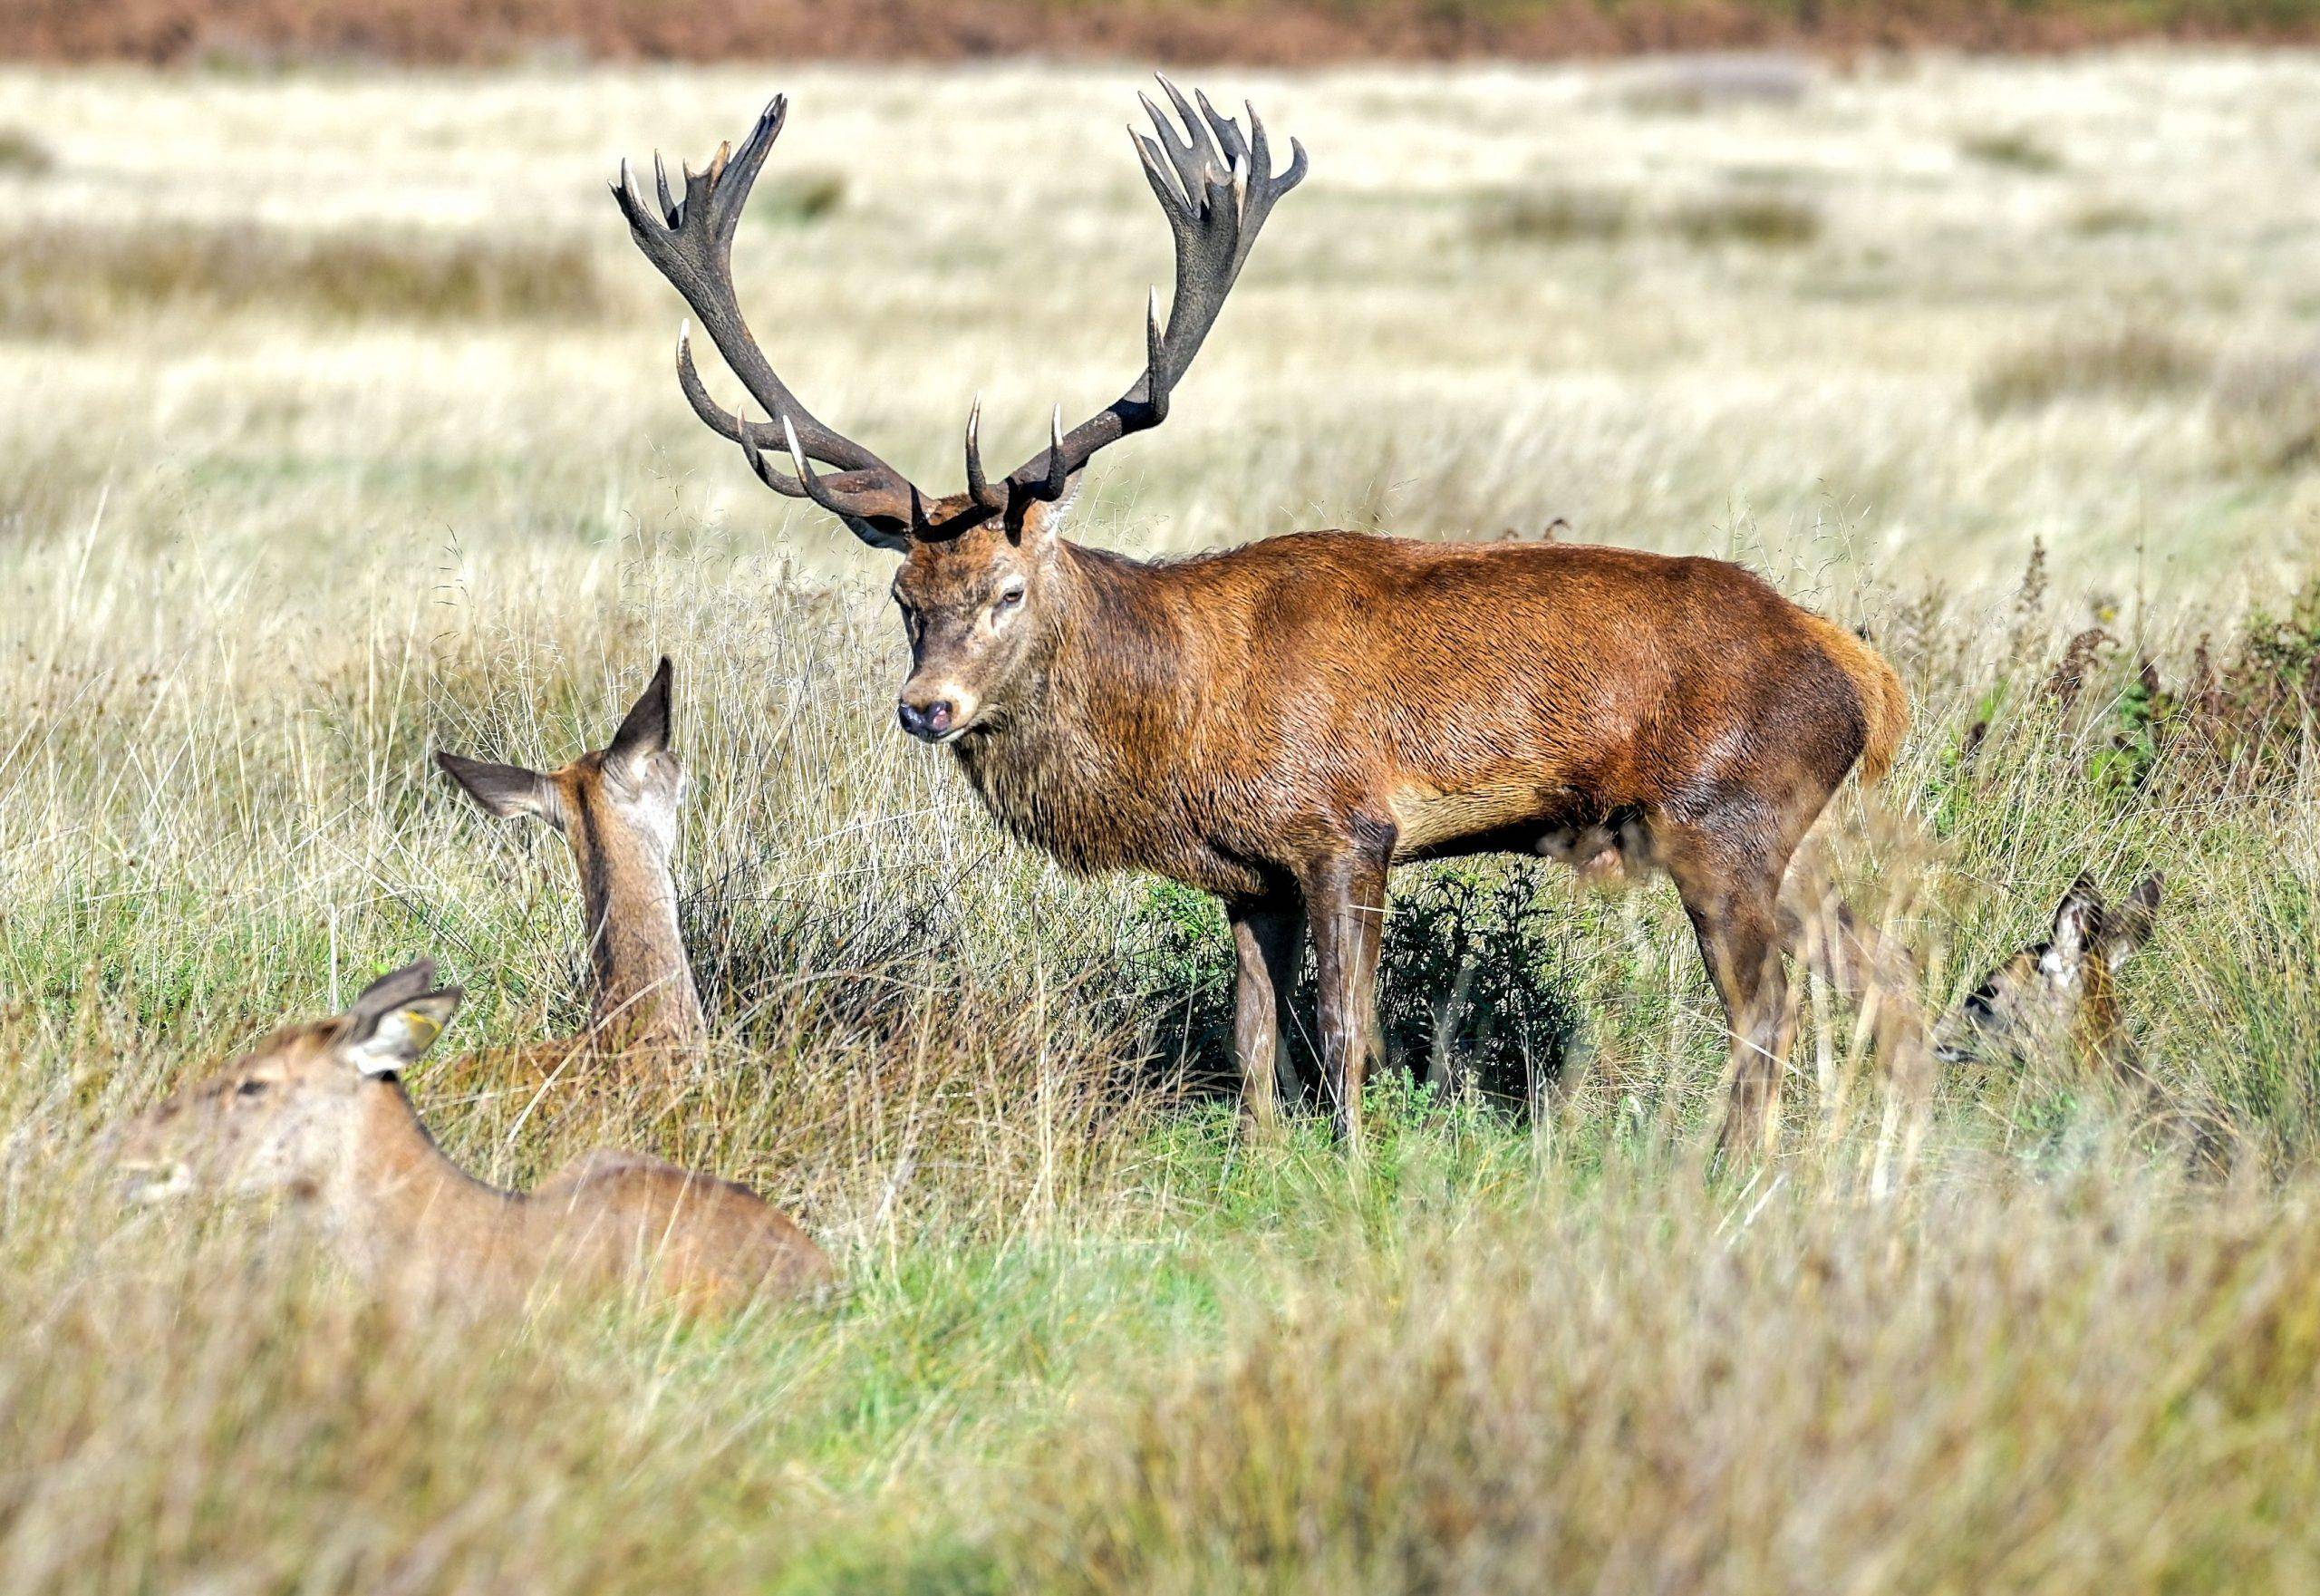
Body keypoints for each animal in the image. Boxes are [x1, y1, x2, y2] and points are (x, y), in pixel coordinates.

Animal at [612, 83, 1902, 1146]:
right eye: (901, 596)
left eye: (1007, 590)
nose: (926, 709)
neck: (1187, 719)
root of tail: (1861, 675)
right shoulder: (1248, 875)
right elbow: (1249, 1043)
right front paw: (1265, 1162)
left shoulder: (1347, 828)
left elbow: (1347, 1037)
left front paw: (1355, 1170)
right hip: (1794, 834)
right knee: (1880, 977)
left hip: (1724, 818)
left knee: (1768, 1008)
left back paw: (1734, 1166)